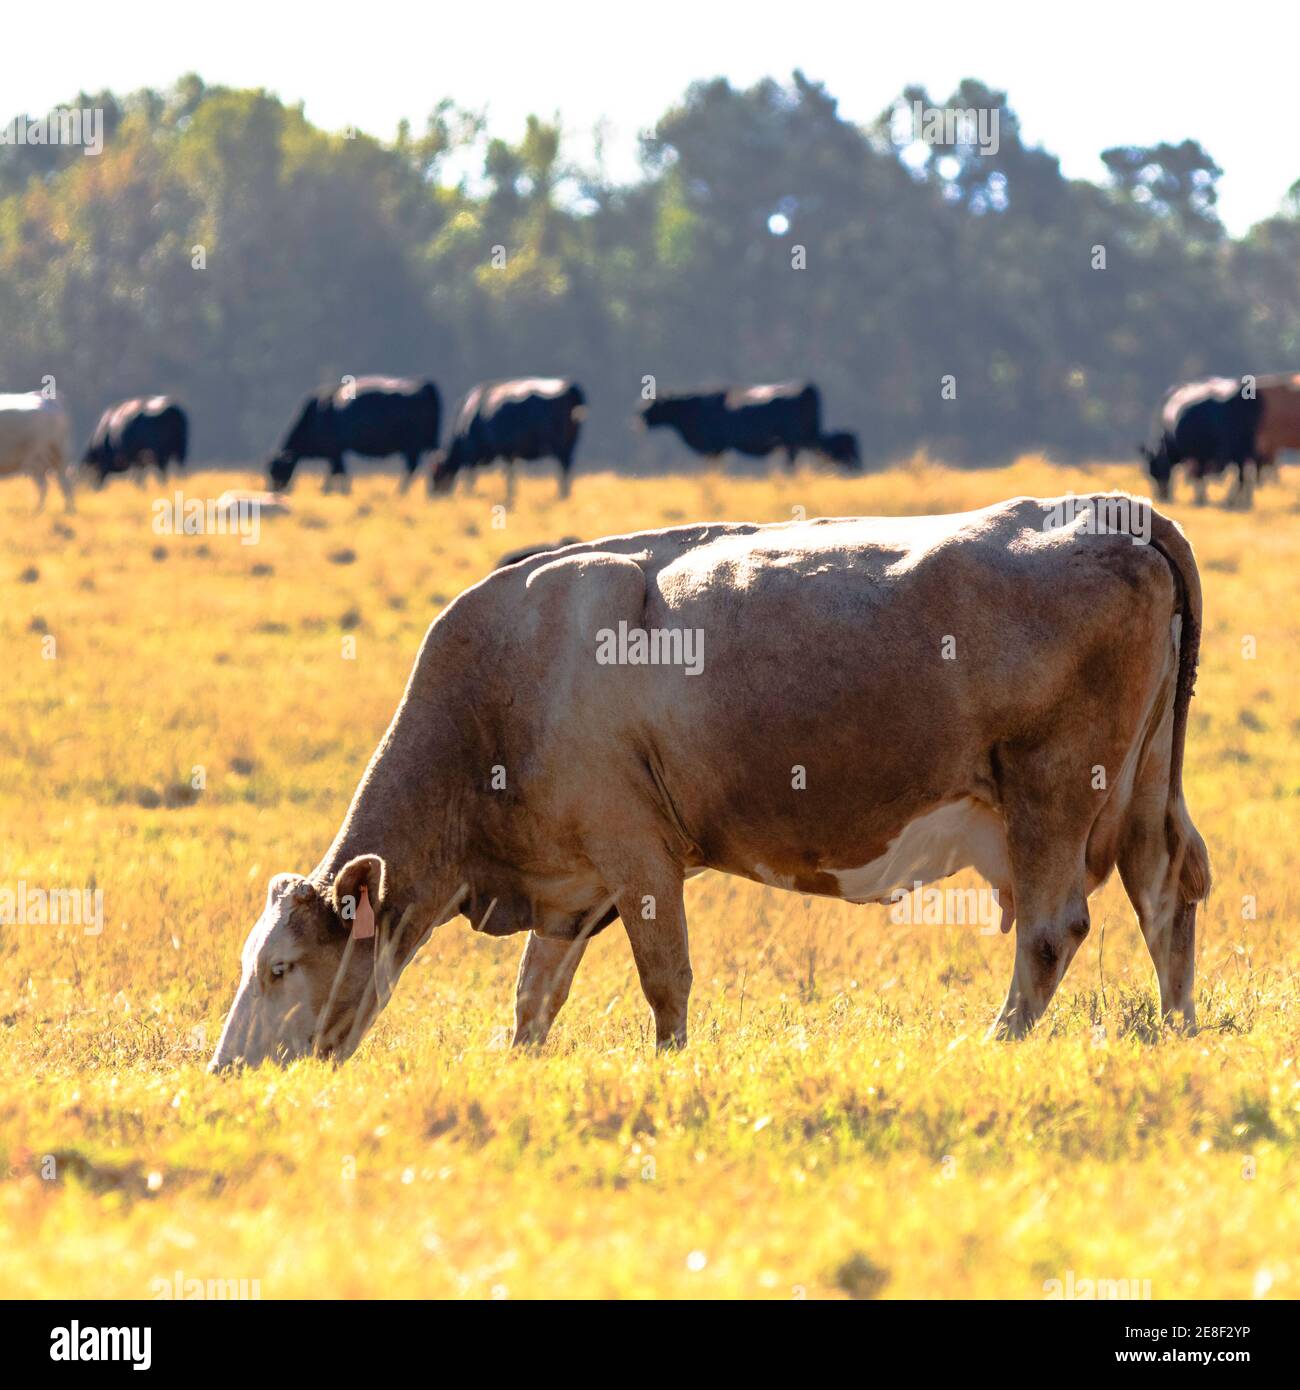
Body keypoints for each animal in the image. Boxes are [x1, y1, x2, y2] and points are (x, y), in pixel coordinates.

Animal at [209, 492, 1209, 1070]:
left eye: (279, 966)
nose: (225, 1070)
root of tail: (1099, 510)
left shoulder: (637, 852)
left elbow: (666, 978)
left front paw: (669, 1071)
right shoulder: (570, 884)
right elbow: (535, 995)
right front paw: (521, 1067)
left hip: (1052, 787)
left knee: (1051, 928)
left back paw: (998, 1039)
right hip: (1142, 789)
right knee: (1166, 892)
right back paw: (1177, 1029)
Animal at [268, 377, 441, 493]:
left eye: (278, 469)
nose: (273, 490)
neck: (317, 413)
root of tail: (424, 386)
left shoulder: (334, 452)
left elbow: (338, 472)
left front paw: (335, 490)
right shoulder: (336, 454)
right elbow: (336, 472)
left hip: (411, 447)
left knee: (412, 468)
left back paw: (400, 492)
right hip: (425, 446)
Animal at [430, 378, 585, 501]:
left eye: (435, 474)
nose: (431, 496)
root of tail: (569, 386)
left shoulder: (472, 456)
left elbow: (471, 480)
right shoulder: (509, 455)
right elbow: (510, 477)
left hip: (561, 447)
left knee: (564, 469)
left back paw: (562, 495)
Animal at [1140, 378, 1260, 508]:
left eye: (1155, 470)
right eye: (1150, 474)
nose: (1162, 497)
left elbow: (1197, 478)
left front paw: (1200, 500)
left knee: (1243, 477)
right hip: (1244, 452)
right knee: (1245, 476)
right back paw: (1242, 502)